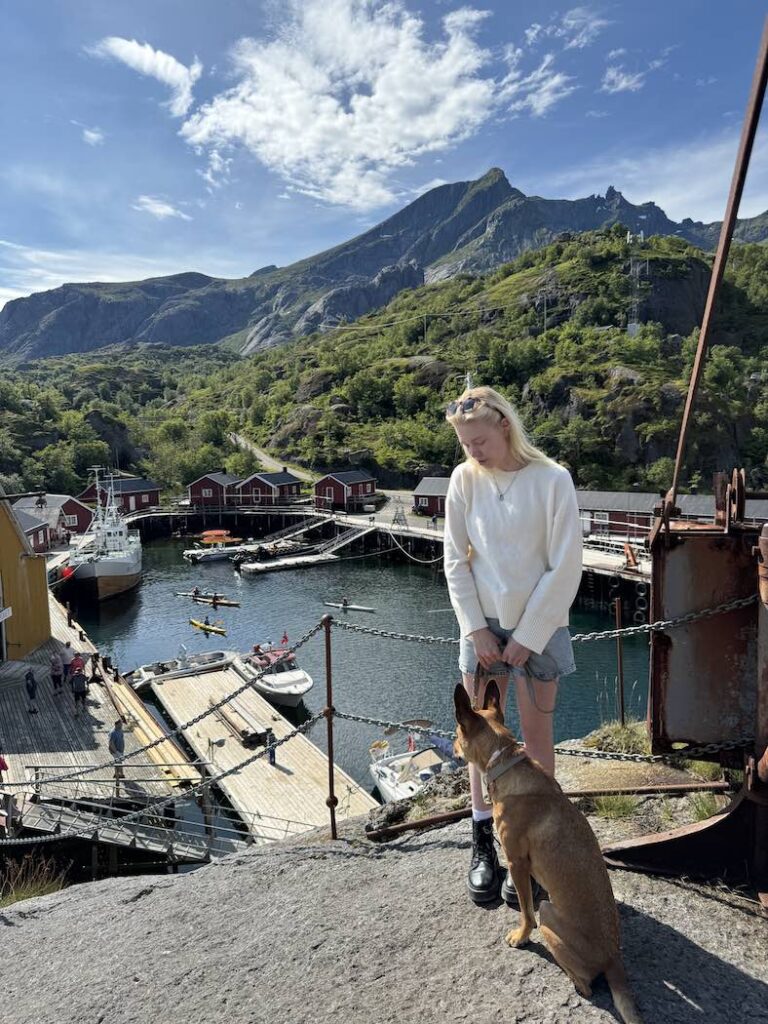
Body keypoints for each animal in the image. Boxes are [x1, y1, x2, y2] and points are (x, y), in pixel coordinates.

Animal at [456, 679, 643, 1024]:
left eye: (455, 733)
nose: (451, 747)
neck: (505, 761)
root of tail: (613, 960)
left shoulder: (517, 863)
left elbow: (525, 910)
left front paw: (520, 936)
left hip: (549, 915)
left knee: (586, 984)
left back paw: (571, 979)